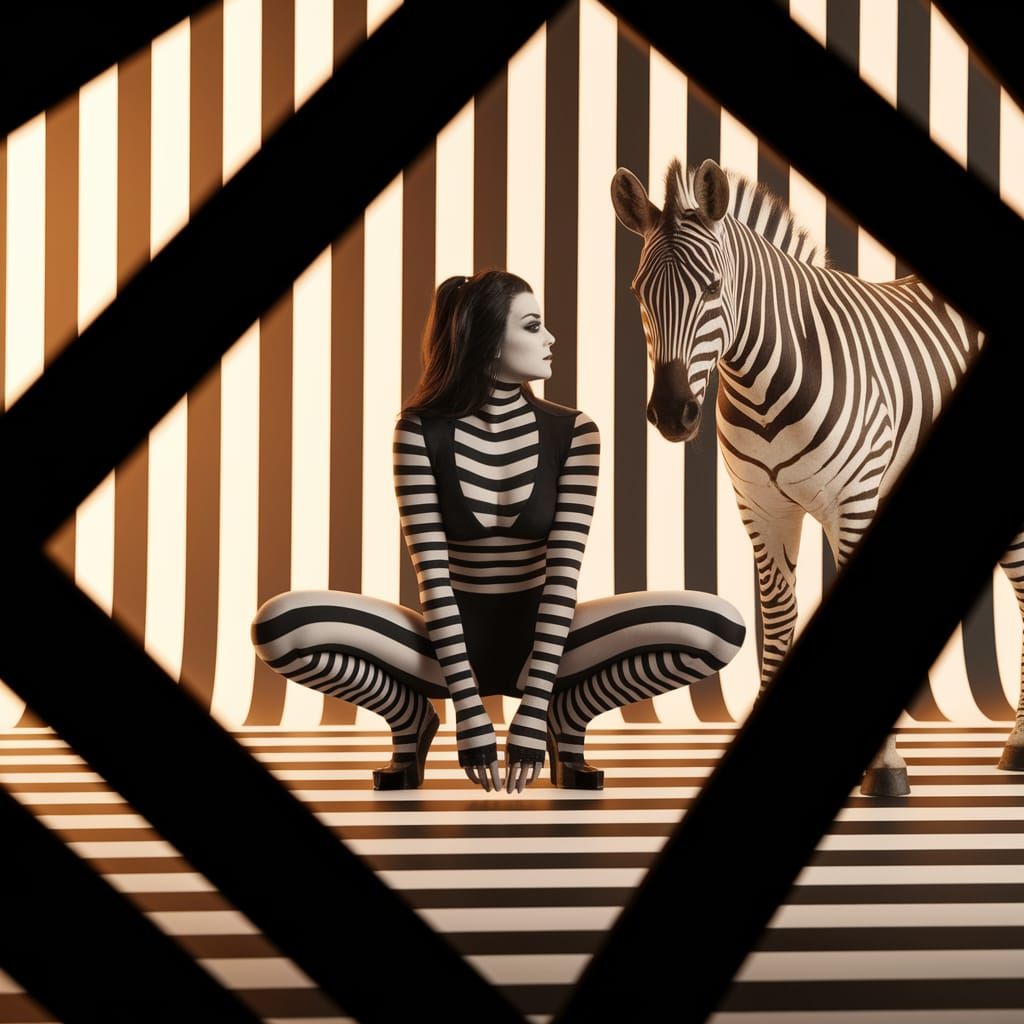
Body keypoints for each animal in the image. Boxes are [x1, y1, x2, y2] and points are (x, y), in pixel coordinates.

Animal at [610, 156, 1024, 794]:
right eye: (637, 293)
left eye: (713, 288)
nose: (672, 414)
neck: (763, 381)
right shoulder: (762, 511)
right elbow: (778, 618)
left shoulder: (851, 504)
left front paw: (887, 765)